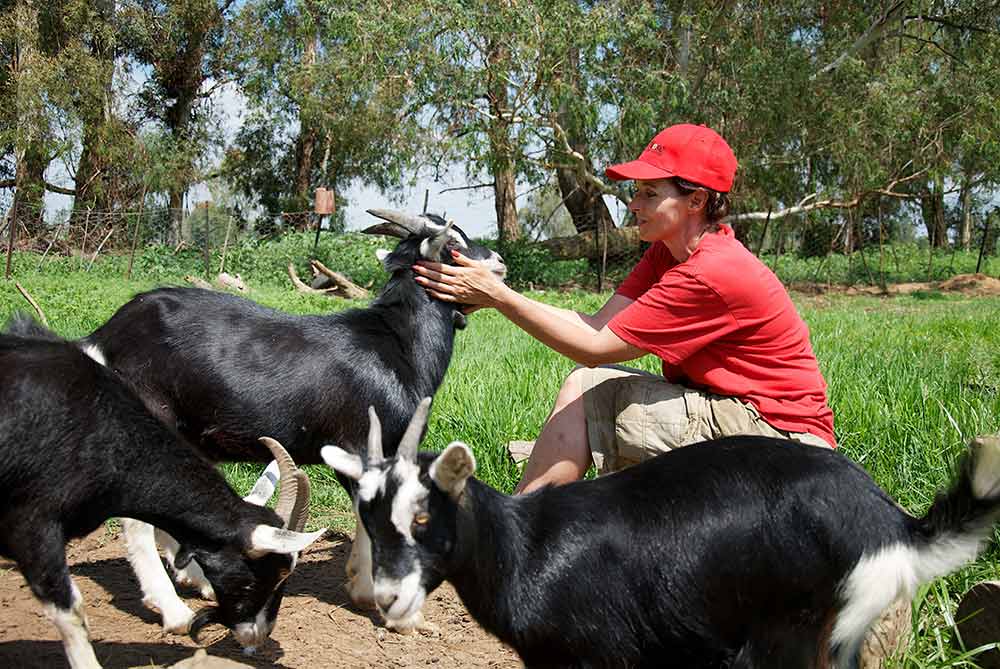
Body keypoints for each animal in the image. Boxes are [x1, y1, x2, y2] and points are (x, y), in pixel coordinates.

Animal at [77, 209, 504, 628]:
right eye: (454, 244)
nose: (499, 262)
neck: (396, 347)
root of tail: (104, 337)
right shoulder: (361, 443)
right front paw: (380, 601)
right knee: (137, 519)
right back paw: (172, 608)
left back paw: (199, 582)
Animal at [322, 402, 1000, 668]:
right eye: (367, 518)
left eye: (423, 517)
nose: (386, 598)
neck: (526, 550)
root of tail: (893, 523)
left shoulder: (604, 653)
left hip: (797, 631)